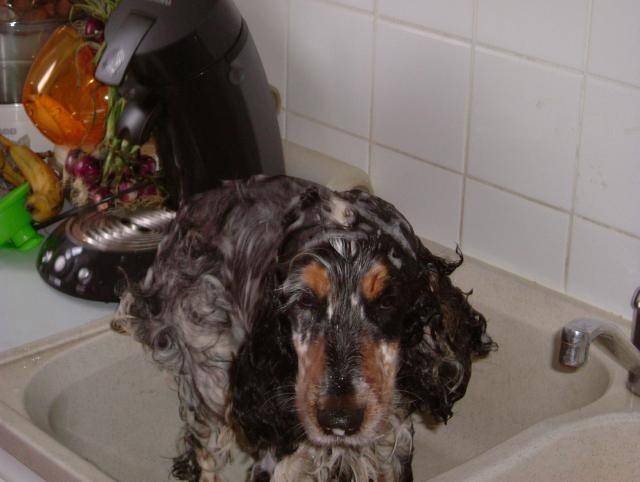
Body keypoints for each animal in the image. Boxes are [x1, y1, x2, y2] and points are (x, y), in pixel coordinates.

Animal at [113, 175, 494, 482]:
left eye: (387, 301)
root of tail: (186, 211)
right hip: (209, 363)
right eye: (305, 301)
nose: (339, 419)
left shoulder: (391, 449)